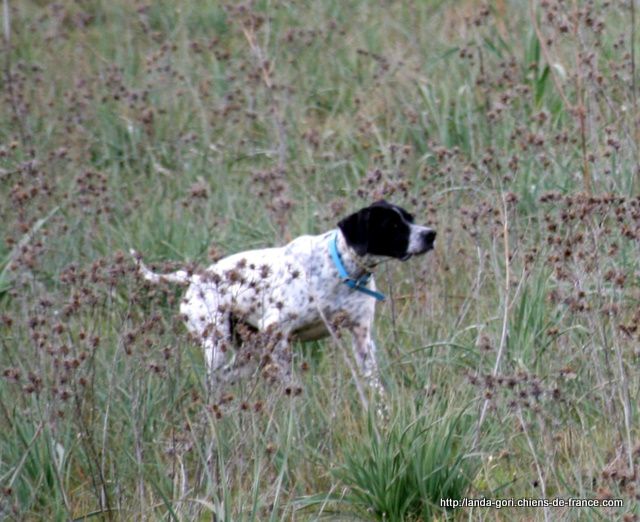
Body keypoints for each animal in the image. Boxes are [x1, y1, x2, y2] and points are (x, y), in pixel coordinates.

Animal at [132, 199, 438, 394]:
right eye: (393, 226)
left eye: (410, 218)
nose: (431, 234)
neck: (341, 269)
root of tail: (195, 278)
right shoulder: (277, 333)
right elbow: (292, 384)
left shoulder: (362, 338)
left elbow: (375, 386)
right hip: (217, 343)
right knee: (214, 381)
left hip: (249, 353)